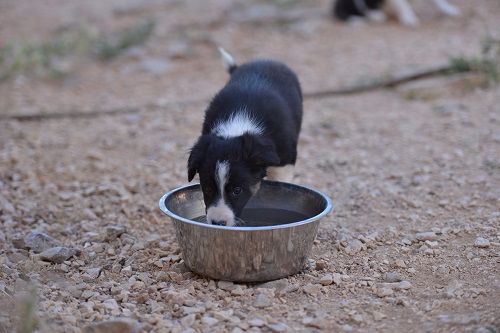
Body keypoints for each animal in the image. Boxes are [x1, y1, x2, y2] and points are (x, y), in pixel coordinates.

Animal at [188, 48, 302, 226]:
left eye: (237, 191)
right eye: (207, 188)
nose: (218, 223)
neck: (238, 125)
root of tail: (265, 61)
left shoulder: (286, 159)